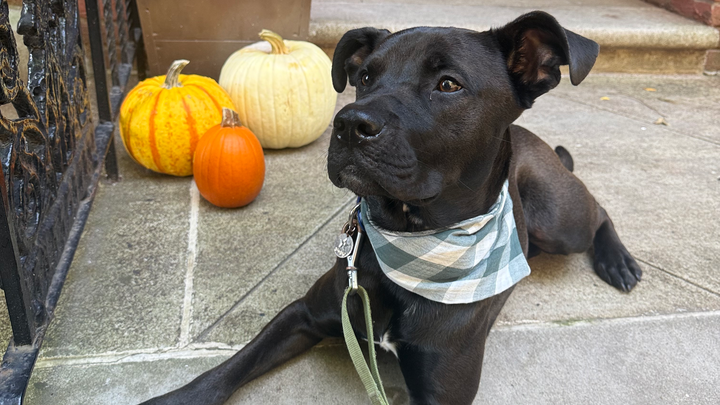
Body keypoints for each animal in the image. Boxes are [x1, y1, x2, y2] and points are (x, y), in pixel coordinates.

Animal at [142, 11, 641, 405]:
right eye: (365, 77)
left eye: (448, 84)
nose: (348, 124)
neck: (413, 240)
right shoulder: (304, 314)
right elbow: (231, 366)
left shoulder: (442, 391)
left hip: (559, 219)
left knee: (598, 212)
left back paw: (618, 261)